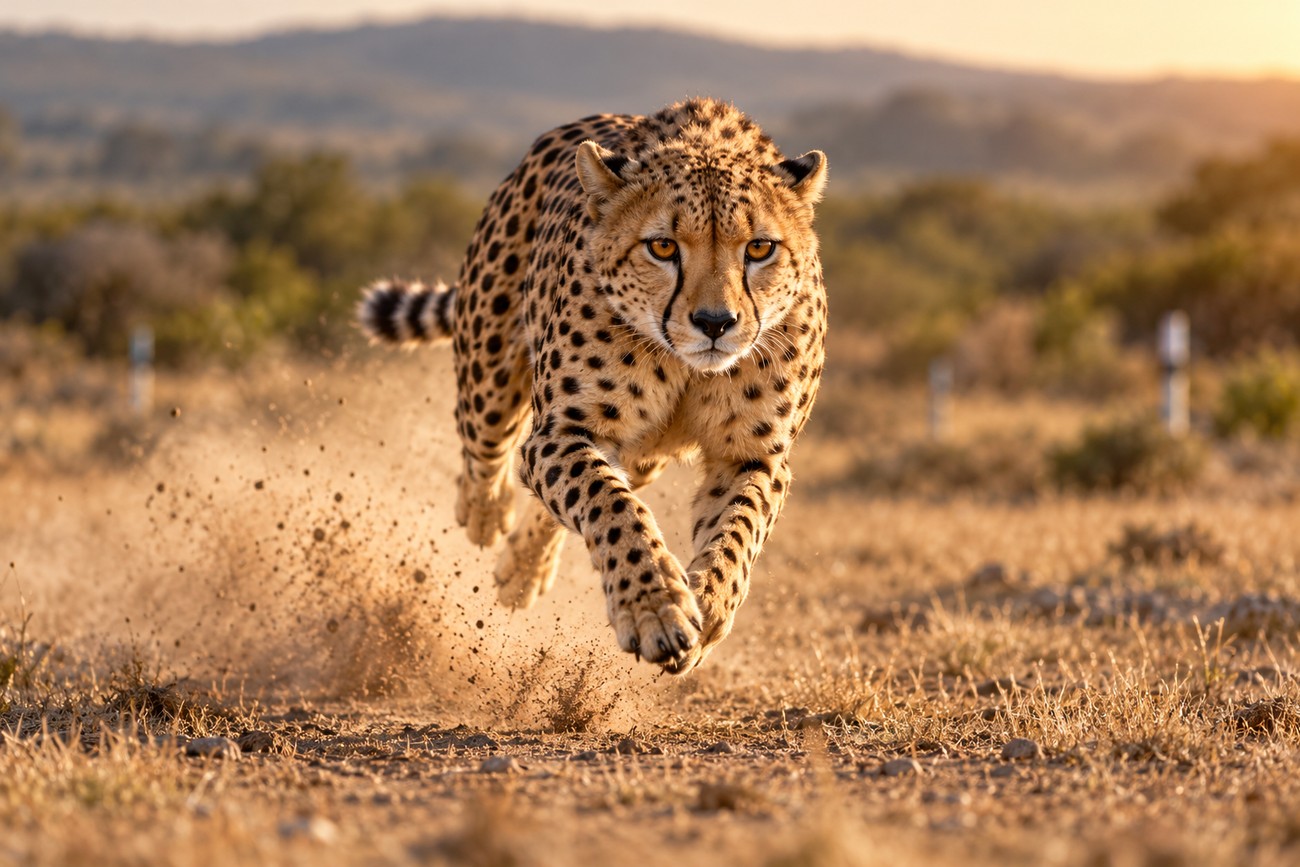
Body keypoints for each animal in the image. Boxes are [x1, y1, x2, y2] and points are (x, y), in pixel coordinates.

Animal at [358, 97, 828, 674]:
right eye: (663, 246)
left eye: (760, 248)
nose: (715, 323)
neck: (686, 366)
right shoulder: (562, 429)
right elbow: (610, 505)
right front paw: (655, 608)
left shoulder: (752, 455)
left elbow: (737, 530)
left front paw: (709, 604)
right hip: (490, 371)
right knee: (487, 455)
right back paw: (486, 515)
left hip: (645, 456)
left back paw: (522, 570)